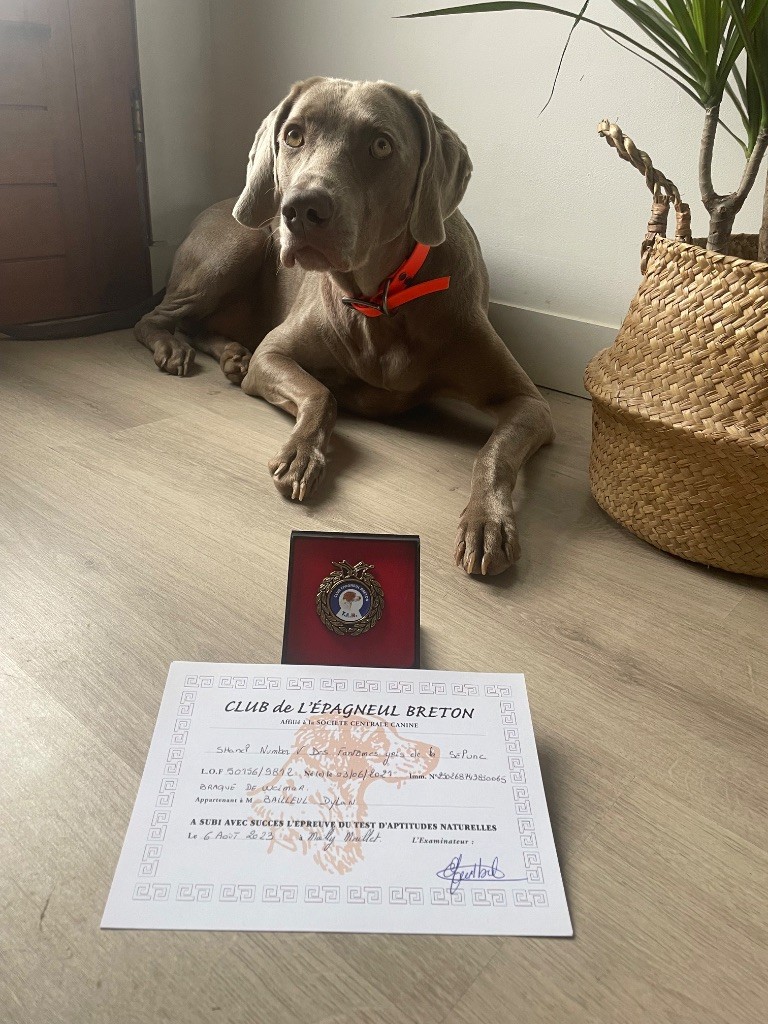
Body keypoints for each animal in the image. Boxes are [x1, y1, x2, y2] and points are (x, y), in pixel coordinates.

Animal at [135, 77, 555, 575]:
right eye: (293, 135)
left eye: (381, 145)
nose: (300, 210)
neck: (380, 299)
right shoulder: (276, 353)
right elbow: (322, 394)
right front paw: (300, 454)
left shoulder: (529, 403)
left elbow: (494, 452)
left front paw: (487, 520)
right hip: (237, 245)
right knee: (152, 319)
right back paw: (174, 349)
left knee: (197, 325)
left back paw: (232, 355)